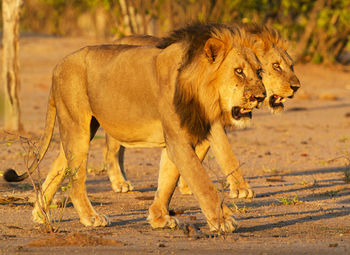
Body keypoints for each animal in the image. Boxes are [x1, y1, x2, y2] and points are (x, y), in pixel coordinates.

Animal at [2, 22, 266, 232]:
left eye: (259, 71)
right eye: (238, 71)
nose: (261, 96)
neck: (202, 93)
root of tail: (58, 66)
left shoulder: (180, 137)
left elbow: (168, 179)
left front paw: (159, 218)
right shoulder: (178, 139)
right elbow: (202, 182)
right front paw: (223, 221)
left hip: (81, 129)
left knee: (58, 165)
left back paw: (39, 213)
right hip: (77, 126)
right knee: (75, 182)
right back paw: (90, 218)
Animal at [100, 23, 300, 199]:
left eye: (291, 66)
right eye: (276, 66)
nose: (297, 87)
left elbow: (201, 152)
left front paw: (185, 184)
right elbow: (227, 154)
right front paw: (241, 189)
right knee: (111, 150)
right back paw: (119, 182)